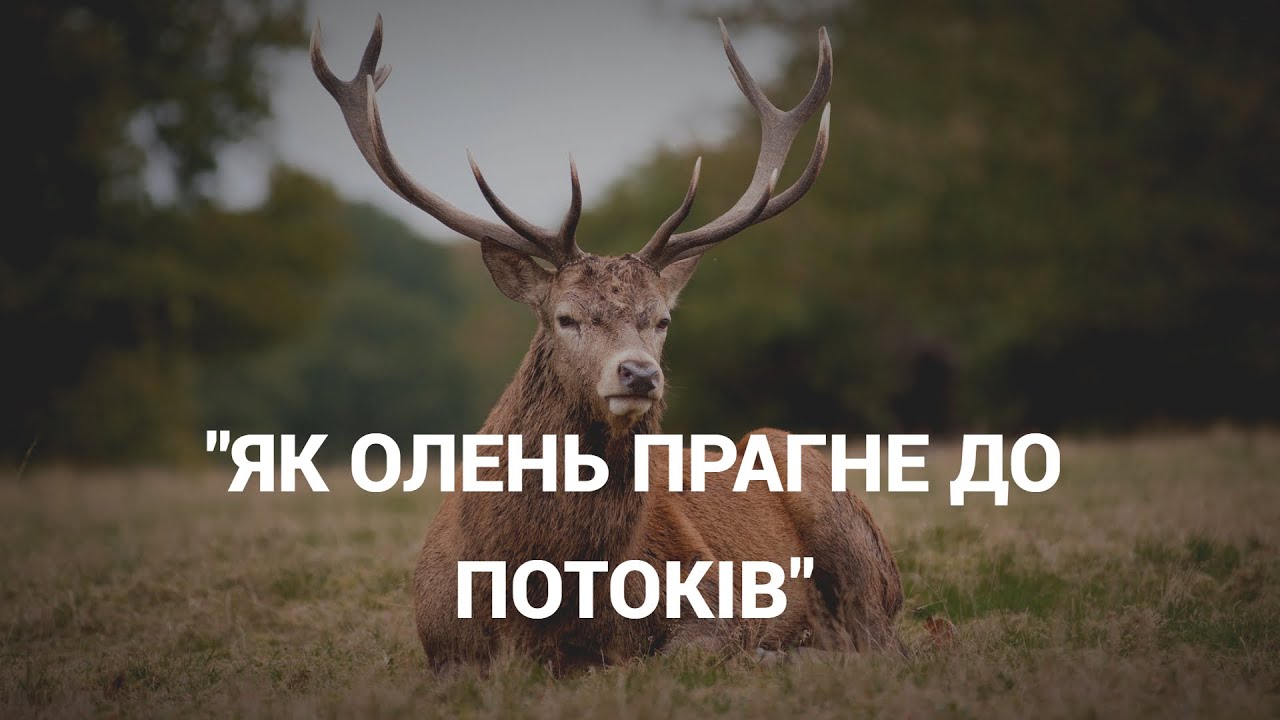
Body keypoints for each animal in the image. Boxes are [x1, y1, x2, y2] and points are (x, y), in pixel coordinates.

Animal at [312, 14, 902, 674]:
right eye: (566, 317)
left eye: (661, 320)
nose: (640, 374)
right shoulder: (442, 644)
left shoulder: (717, 601)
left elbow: (680, 654)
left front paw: (769, 656)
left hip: (844, 528)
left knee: (887, 640)